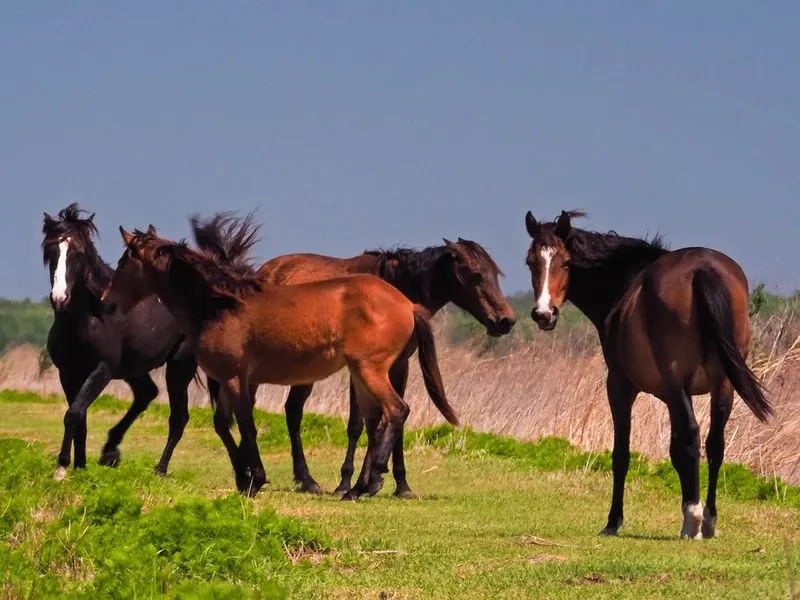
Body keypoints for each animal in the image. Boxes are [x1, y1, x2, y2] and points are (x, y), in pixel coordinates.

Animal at [41, 203, 199, 480]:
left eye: (78, 253)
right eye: (50, 251)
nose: (59, 298)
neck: (90, 318)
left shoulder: (102, 370)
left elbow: (73, 414)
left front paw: (61, 468)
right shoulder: (68, 372)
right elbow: (80, 419)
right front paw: (79, 466)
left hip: (179, 366)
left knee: (178, 417)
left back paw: (159, 469)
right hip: (135, 368)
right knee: (147, 394)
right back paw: (110, 452)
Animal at [104, 220, 459, 499]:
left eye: (122, 263)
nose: (107, 303)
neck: (220, 305)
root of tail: (407, 304)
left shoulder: (234, 378)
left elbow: (246, 426)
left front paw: (254, 480)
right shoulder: (230, 380)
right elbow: (224, 425)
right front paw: (243, 477)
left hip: (370, 370)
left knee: (397, 411)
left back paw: (372, 479)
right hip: (362, 375)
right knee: (376, 423)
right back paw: (357, 488)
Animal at [191, 213, 515, 498]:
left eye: (496, 273)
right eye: (475, 274)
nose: (505, 320)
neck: (398, 285)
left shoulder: (398, 366)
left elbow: (389, 421)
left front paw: (400, 484)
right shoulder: (360, 368)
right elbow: (358, 424)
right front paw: (352, 482)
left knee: (289, 412)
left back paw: (302, 479)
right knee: (264, 414)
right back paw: (293, 478)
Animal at [523, 209, 772, 539]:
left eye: (566, 262)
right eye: (530, 261)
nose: (543, 314)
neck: (624, 283)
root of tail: (703, 270)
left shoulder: (620, 385)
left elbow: (622, 454)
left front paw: (613, 521)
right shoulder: (674, 396)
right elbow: (677, 451)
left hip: (677, 384)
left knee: (693, 437)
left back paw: (692, 521)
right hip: (722, 386)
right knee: (714, 443)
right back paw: (707, 521)